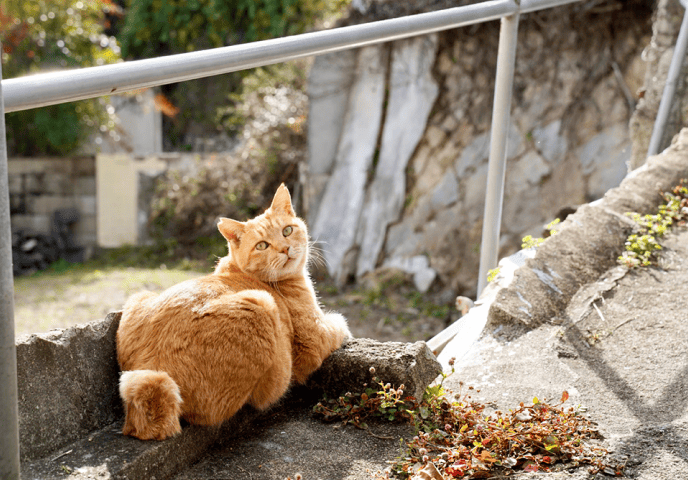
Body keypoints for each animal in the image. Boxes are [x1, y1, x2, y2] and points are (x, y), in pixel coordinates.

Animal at [117, 184, 350, 438]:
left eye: (287, 231)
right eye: (262, 245)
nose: (285, 248)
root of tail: (150, 365)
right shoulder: (314, 339)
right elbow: (339, 324)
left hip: (138, 297)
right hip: (261, 304)